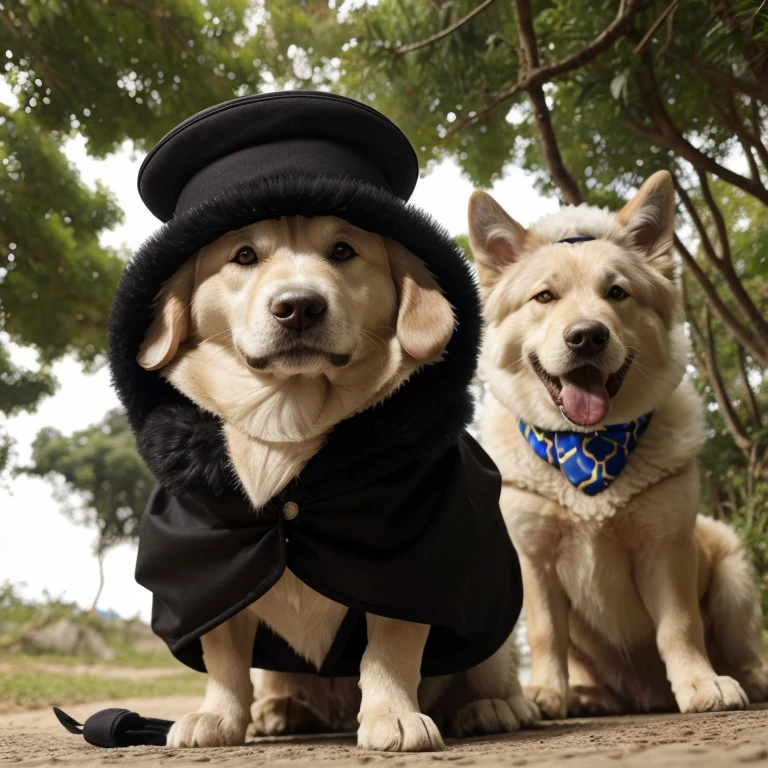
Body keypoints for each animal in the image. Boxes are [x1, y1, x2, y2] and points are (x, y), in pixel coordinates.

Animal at [135, 214, 536, 752]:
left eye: (344, 250)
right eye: (244, 255)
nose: (298, 307)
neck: (289, 420)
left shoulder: (412, 565)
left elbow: (390, 647)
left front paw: (392, 714)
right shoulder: (211, 575)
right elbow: (223, 657)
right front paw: (217, 716)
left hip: (494, 627)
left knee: (488, 672)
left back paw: (494, 707)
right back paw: (278, 710)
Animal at [468, 171, 768, 716]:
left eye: (617, 292)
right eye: (544, 297)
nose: (587, 336)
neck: (590, 450)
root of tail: (644, 697)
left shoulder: (666, 548)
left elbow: (680, 626)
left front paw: (700, 682)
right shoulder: (535, 561)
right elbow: (546, 634)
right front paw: (546, 692)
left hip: (732, 573)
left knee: (745, 648)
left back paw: (749, 679)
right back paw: (590, 698)